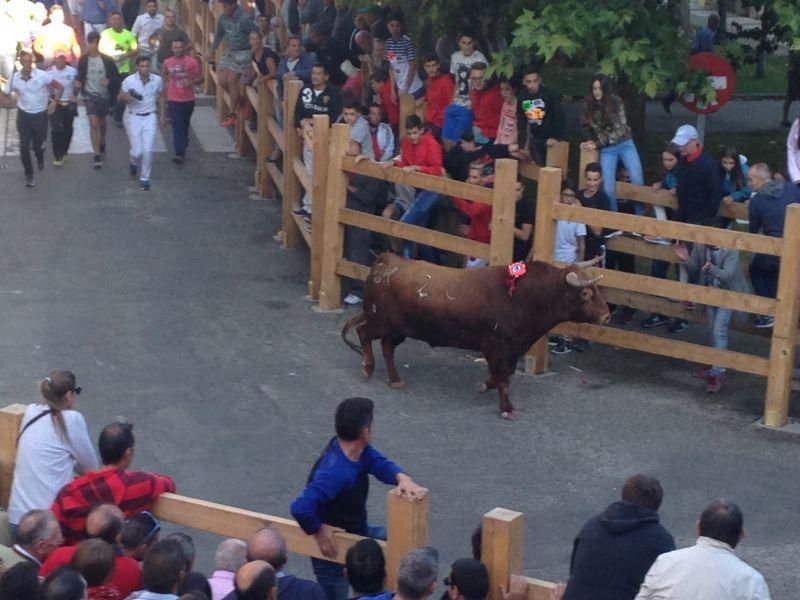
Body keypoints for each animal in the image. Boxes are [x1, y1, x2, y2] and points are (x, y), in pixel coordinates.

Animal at [340, 252, 608, 418]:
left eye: (596, 289)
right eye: (585, 294)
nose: (607, 316)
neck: (525, 296)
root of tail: (386, 260)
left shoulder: (513, 349)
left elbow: (503, 375)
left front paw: (485, 386)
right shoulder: (497, 348)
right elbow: (502, 379)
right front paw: (506, 408)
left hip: (398, 330)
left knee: (386, 346)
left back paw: (395, 379)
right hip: (381, 322)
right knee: (364, 333)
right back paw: (368, 367)